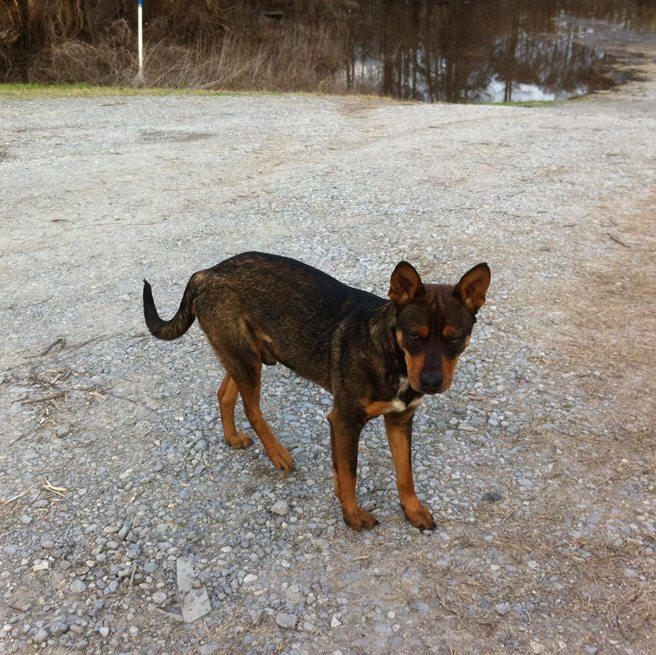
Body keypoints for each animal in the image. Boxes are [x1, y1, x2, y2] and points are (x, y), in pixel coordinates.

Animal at [145, 251, 492, 532]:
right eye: (414, 335)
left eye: (454, 338)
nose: (431, 382)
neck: (391, 354)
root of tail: (208, 272)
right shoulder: (345, 421)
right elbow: (349, 476)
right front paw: (352, 516)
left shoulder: (400, 419)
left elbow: (405, 474)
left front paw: (413, 510)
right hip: (246, 360)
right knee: (250, 407)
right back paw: (278, 454)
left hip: (245, 356)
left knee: (225, 393)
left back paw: (232, 437)